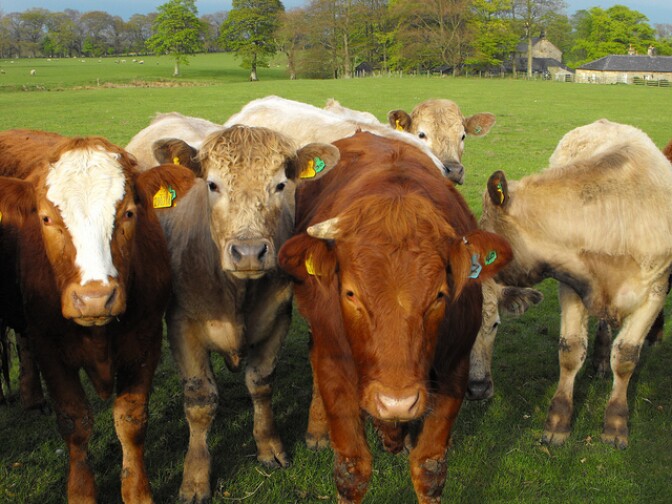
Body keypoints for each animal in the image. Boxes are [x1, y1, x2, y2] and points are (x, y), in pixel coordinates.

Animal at [0, 129, 185, 502]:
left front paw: (137, 491)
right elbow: (75, 422)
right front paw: (81, 492)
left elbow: (131, 421)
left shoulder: (146, 341)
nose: (95, 298)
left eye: (128, 213)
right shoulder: (50, 347)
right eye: (46, 218)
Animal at [125, 118, 340, 503]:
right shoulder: (182, 325)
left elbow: (261, 383)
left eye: (280, 185)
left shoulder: (277, 318)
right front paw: (195, 477)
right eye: (213, 185)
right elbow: (200, 401)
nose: (250, 252)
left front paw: (269, 446)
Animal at [278, 131, 512, 503]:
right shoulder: (335, 365)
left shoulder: (455, 370)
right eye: (350, 294)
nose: (396, 402)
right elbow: (351, 469)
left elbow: (430, 468)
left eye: (440, 295)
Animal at [480, 119, 672, 449]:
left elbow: (626, 357)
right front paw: (558, 419)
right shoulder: (571, 285)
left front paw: (616, 422)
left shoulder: (654, 293)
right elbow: (570, 352)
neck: (615, 221)